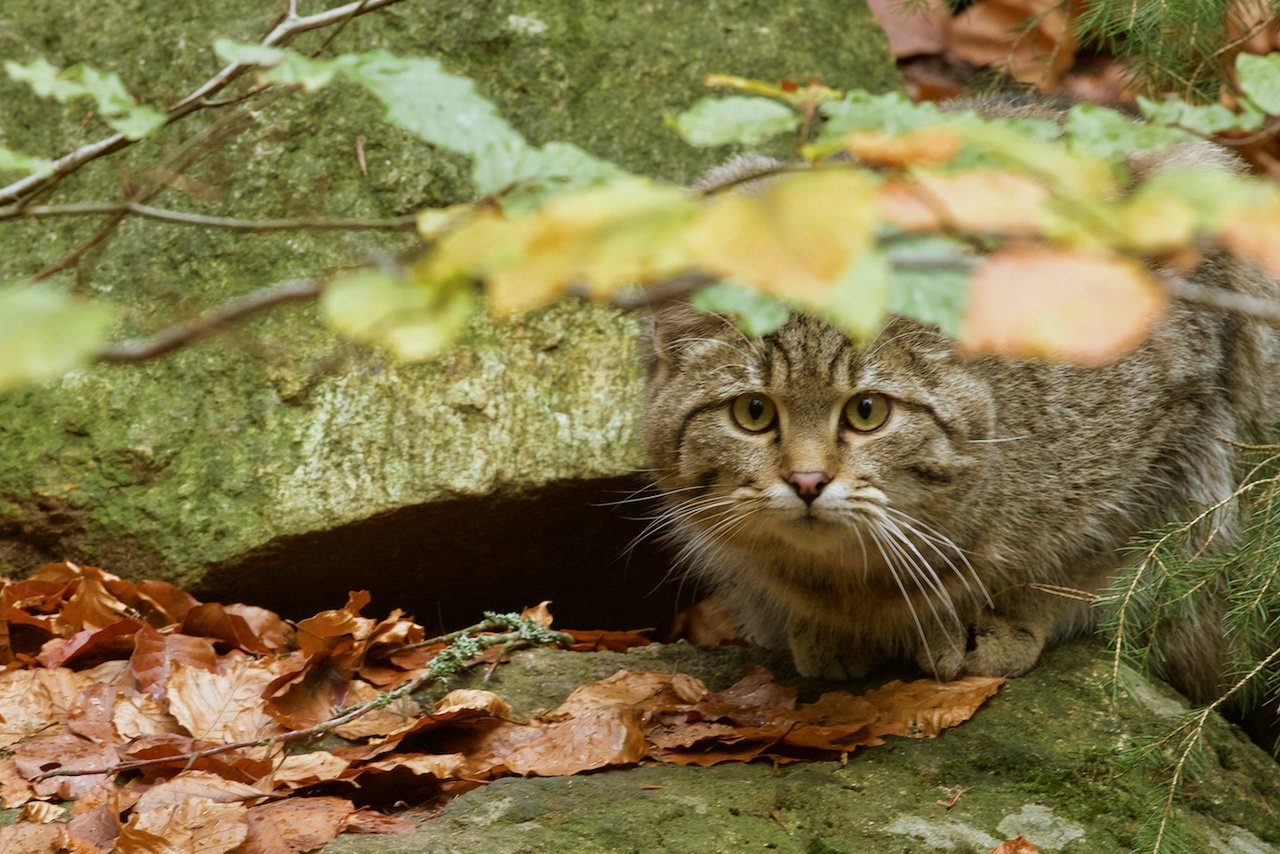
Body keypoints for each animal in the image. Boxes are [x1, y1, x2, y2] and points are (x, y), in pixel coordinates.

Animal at [645, 100, 1280, 701]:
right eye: (753, 413)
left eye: (867, 412)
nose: (806, 481)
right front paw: (828, 629)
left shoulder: (1170, 430)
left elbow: (1092, 561)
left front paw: (1002, 617)